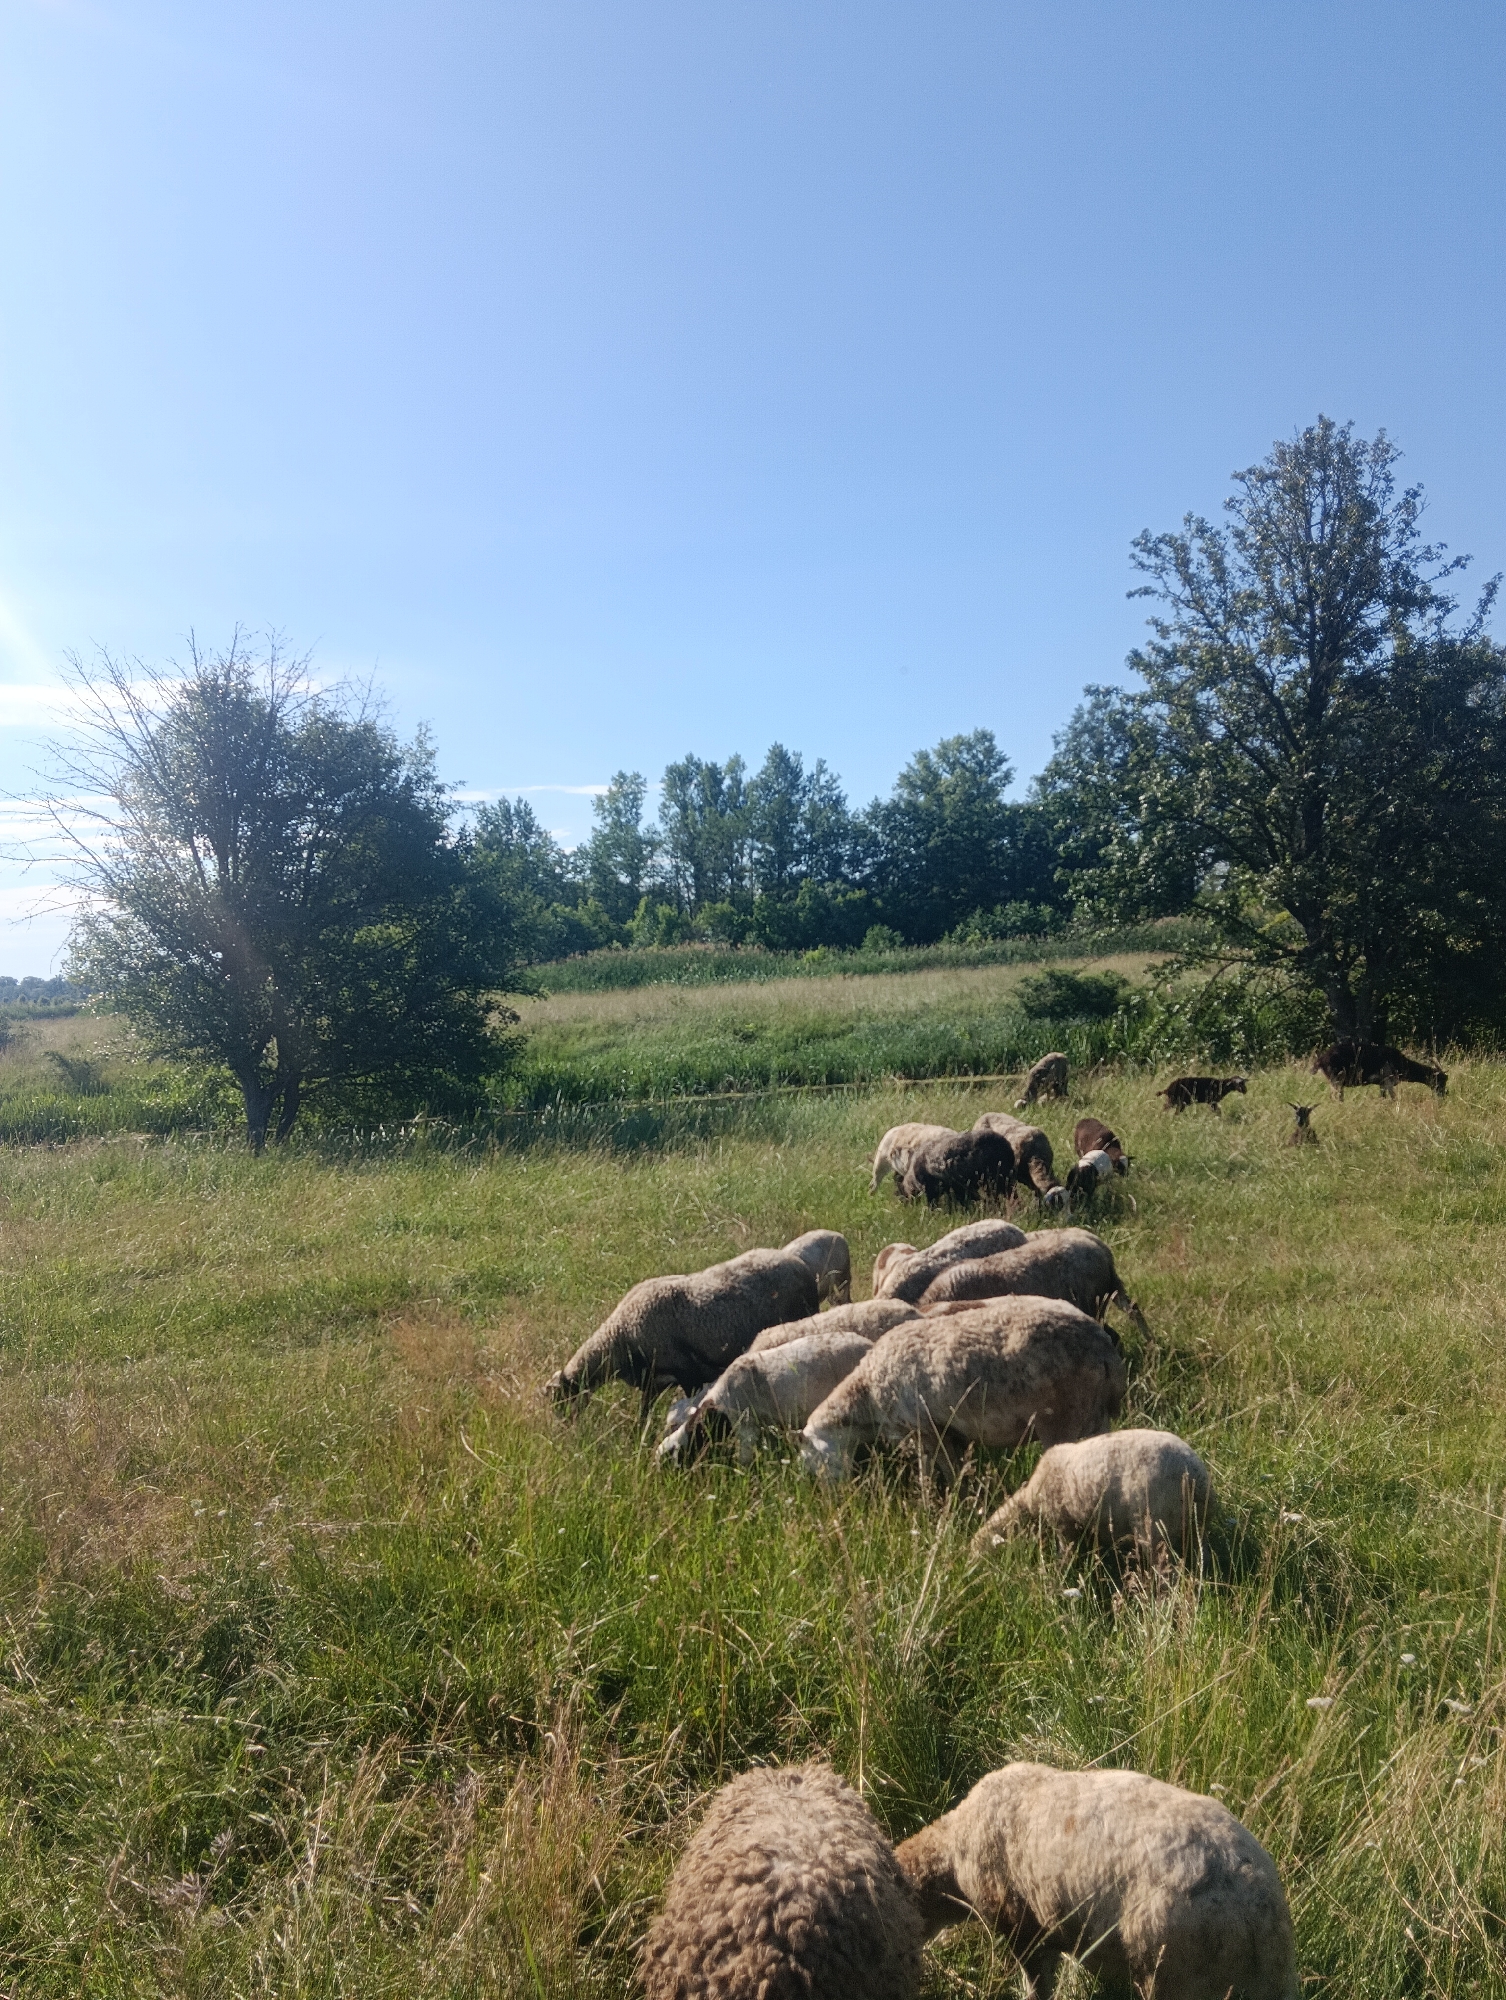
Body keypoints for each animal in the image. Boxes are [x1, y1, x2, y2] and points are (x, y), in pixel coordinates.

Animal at [546, 1231, 851, 1428]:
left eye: (560, 1401)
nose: (564, 1431)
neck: (620, 1338)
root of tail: (801, 1265)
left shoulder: (688, 1374)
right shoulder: (653, 1382)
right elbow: (643, 1414)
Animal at [658, 1329, 877, 1465]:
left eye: (673, 1454)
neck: (720, 1408)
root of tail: (868, 1344)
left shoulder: (745, 1425)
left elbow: (744, 1459)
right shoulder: (764, 1423)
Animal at [800, 1297, 1127, 1490]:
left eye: (809, 1457)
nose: (832, 1496)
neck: (865, 1394)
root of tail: (1102, 1348)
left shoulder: (925, 1429)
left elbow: (939, 1470)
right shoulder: (947, 1431)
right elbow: (949, 1468)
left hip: (1063, 1419)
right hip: (1094, 1416)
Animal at [970, 1428, 1213, 1562]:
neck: (1031, 1499)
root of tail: (1196, 1475)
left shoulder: (1062, 1521)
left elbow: (1067, 1550)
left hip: (1155, 1522)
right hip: (1191, 1523)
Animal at [1312, 1038, 1447, 1099]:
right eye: (1441, 1080)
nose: (1443, 1095)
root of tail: (1320, 1060)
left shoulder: (1382, 1083)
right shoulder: (1388, 1080)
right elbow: (1393, 1098)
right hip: (1336, 1079)